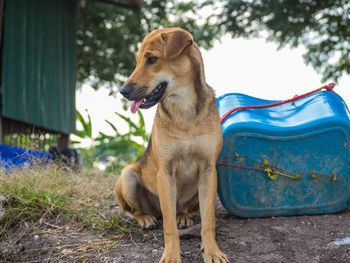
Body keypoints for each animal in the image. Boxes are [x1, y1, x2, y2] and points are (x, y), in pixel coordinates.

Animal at [116, 27, 228, 262]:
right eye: (137, 61)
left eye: (152, 59)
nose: (123, 91)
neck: (183, 107)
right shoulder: (165, 172)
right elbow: (168, 227)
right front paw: (171, 255)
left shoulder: (208, 170)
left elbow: (208, 221)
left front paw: (211, 251)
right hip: (128, 174)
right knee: (136, 210)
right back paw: (146, 218)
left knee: (180, 210)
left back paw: (183, 216)